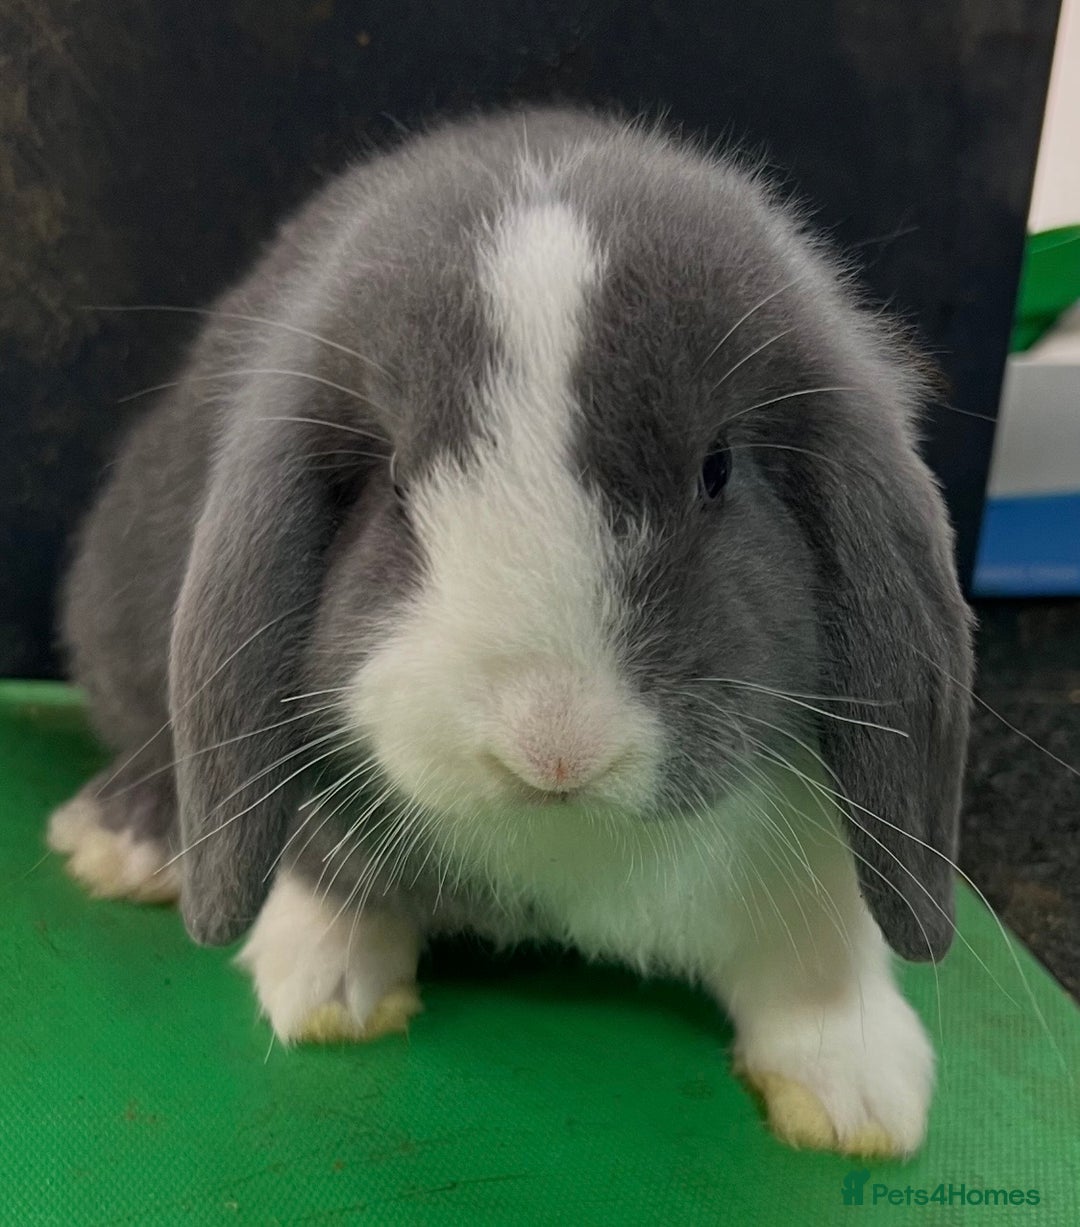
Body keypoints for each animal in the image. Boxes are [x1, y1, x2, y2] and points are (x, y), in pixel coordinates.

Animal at [48, 107, 973, 1157]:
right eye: (396, 483)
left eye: (718, 468)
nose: (555, 745)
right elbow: (324, 866)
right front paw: (325, 982)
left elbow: (824, 943)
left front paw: (857, 1093)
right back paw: (122, 840)